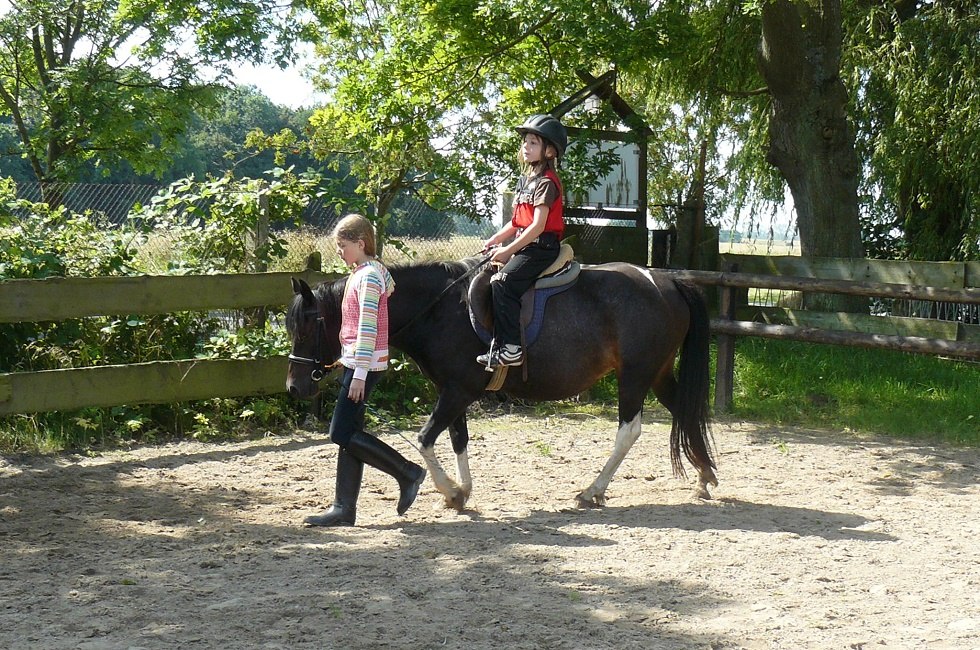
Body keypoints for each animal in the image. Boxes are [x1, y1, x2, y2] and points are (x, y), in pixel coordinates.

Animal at [288, 256, 716, 508]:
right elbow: (457, 439)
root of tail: (665, 281)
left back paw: (592, 490)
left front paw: (449, 490)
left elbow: (426, 439)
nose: (294, 387)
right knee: (683, 412)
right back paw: (704, 478)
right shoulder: (453, 390)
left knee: (629, 431)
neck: (440, 309)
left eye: (308, 326)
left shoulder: (459, 391)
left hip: (635, 375)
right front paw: (461, 492)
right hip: (657, 373)